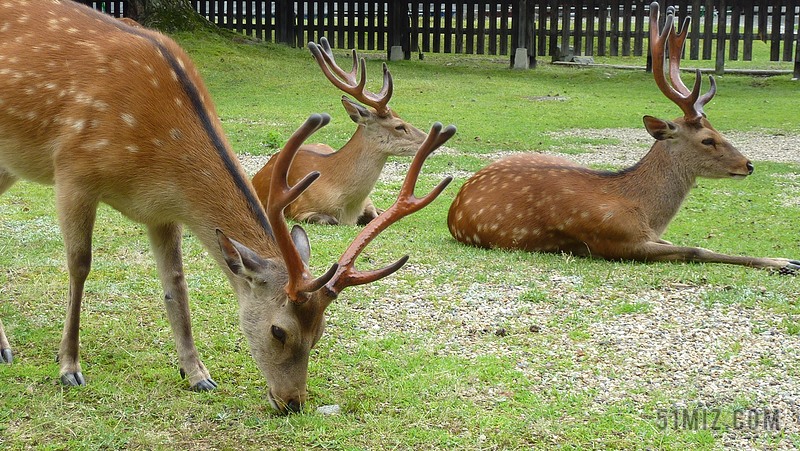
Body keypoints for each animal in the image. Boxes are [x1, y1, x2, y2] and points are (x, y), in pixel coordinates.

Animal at [250, 36, 428, 226]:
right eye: (399, 126)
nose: (428, 139)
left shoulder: (367, 203)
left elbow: (375, 216)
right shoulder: (300, 209)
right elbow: (331, 219)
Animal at [446, 2, 796, 276]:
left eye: (719, 131)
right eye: (708, 140)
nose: (748, 164)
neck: (645, 213)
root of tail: (457, 200)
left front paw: (785, 260)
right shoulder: (617, 240)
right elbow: (697, 250)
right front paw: (784, 261)